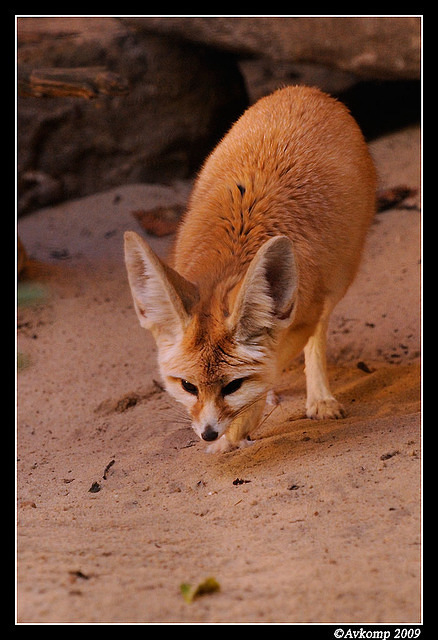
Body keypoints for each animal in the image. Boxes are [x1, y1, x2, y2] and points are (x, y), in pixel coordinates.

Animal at [124, 86, 376, 456]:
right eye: (188, 386)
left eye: (232, 385)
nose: (208, 433)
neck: (229, 264)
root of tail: (305, 91)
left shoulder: (302, 318)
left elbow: (266, 376)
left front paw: (234, 433)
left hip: (338, 279)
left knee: (317, 338)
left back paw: (319, 398)